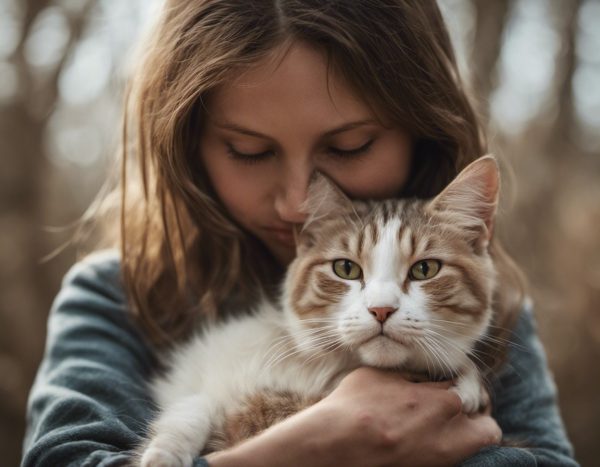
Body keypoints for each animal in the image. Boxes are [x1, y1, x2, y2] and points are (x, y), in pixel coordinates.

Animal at [139, 155, 502, 466]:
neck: (330, 370)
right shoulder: (205, 376)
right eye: (346, 268)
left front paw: (467, 385)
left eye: (425, 270)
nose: (381, 309)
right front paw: (163, 453)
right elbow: (195, 406)